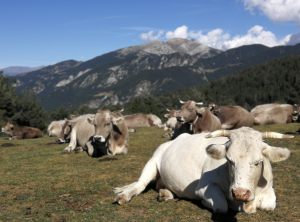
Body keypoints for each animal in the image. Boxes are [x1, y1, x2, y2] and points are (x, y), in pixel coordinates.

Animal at [113, 127, 292, 214]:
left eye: (258, 162)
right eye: (229, 160)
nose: (240, 193)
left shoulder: (268, 189)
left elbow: (269, 205)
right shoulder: (204, 187)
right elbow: (221, 206)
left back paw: (165, 193)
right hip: (153, 160)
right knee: (141, 184)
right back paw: (123, 196)